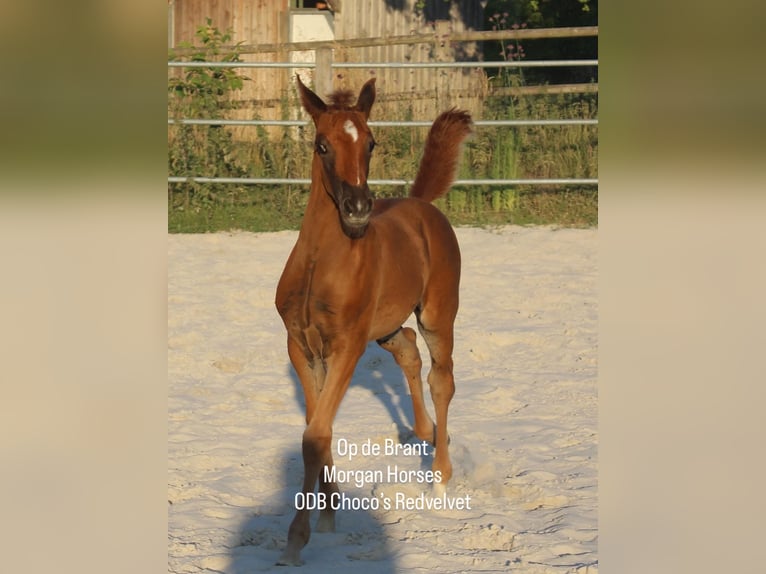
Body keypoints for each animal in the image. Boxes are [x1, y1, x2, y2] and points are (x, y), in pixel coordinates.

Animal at [274, 76, 472, 566]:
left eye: (371, 142)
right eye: (322, 145)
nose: (359, 207)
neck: (320, 262)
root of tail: (421, 205)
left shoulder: (348, 345)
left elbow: (314, 435)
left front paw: (296, 538)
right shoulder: (301, 347)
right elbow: (317, 429)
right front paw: (328, 514)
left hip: (438, 314)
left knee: (442, 379)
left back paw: (440, 475)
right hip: (385, 328)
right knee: (406, 348)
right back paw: (424, 431)